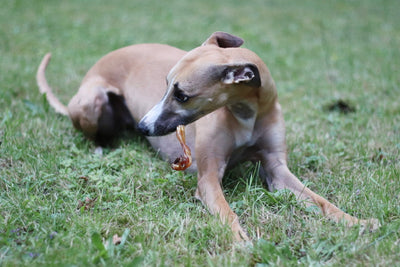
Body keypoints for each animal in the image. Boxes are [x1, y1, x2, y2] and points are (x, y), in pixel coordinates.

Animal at [36, 31, 378, 243]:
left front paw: (357, 222)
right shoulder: (208, 176)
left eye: (182, 95)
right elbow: (227, 212)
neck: (245, 113)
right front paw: (240, 239)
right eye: (165, 85)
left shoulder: (277, 170)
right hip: (91, 103)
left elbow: (321, 202)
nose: (143, 127)